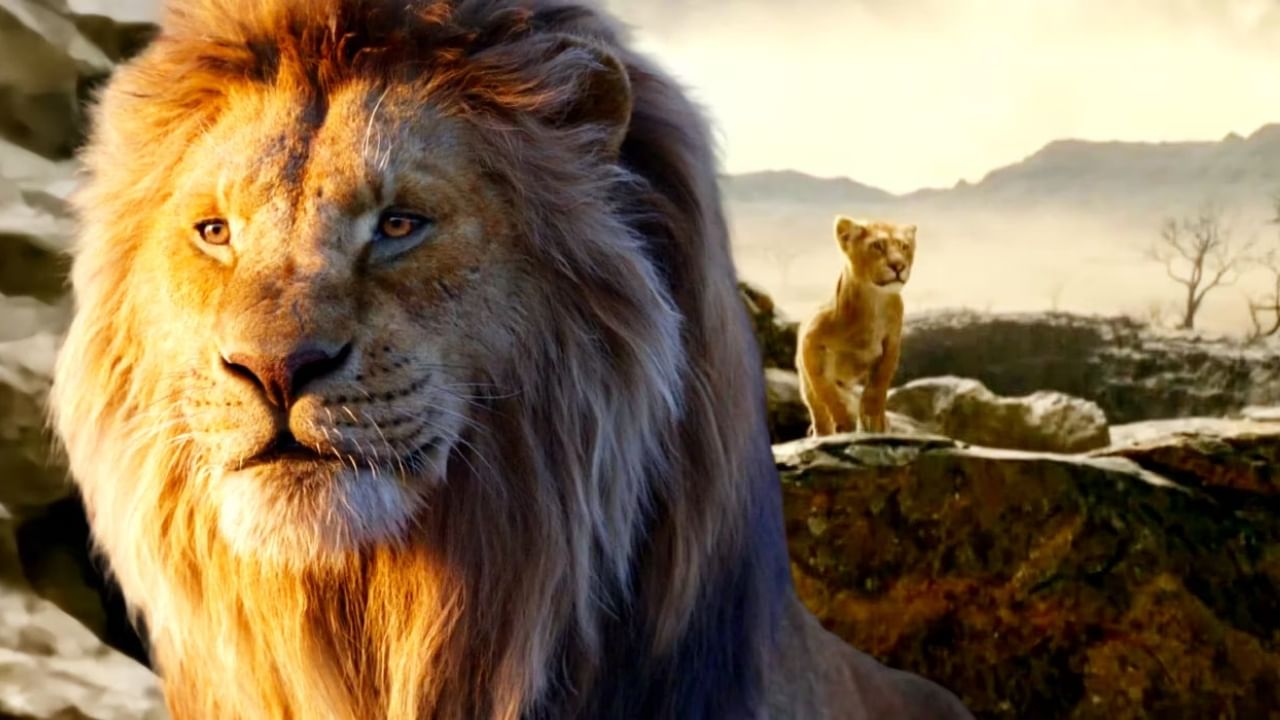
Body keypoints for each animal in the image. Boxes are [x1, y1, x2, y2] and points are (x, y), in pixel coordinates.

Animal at [797, 216, 916, 436]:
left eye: (904, 246)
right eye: (877, 246)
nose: (899, 266)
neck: (874, 302)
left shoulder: (892, 342)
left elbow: (879, 385)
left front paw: (872, 418)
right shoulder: (809, 341)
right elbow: (825, 389)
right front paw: (844, 421)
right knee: (817, 408)